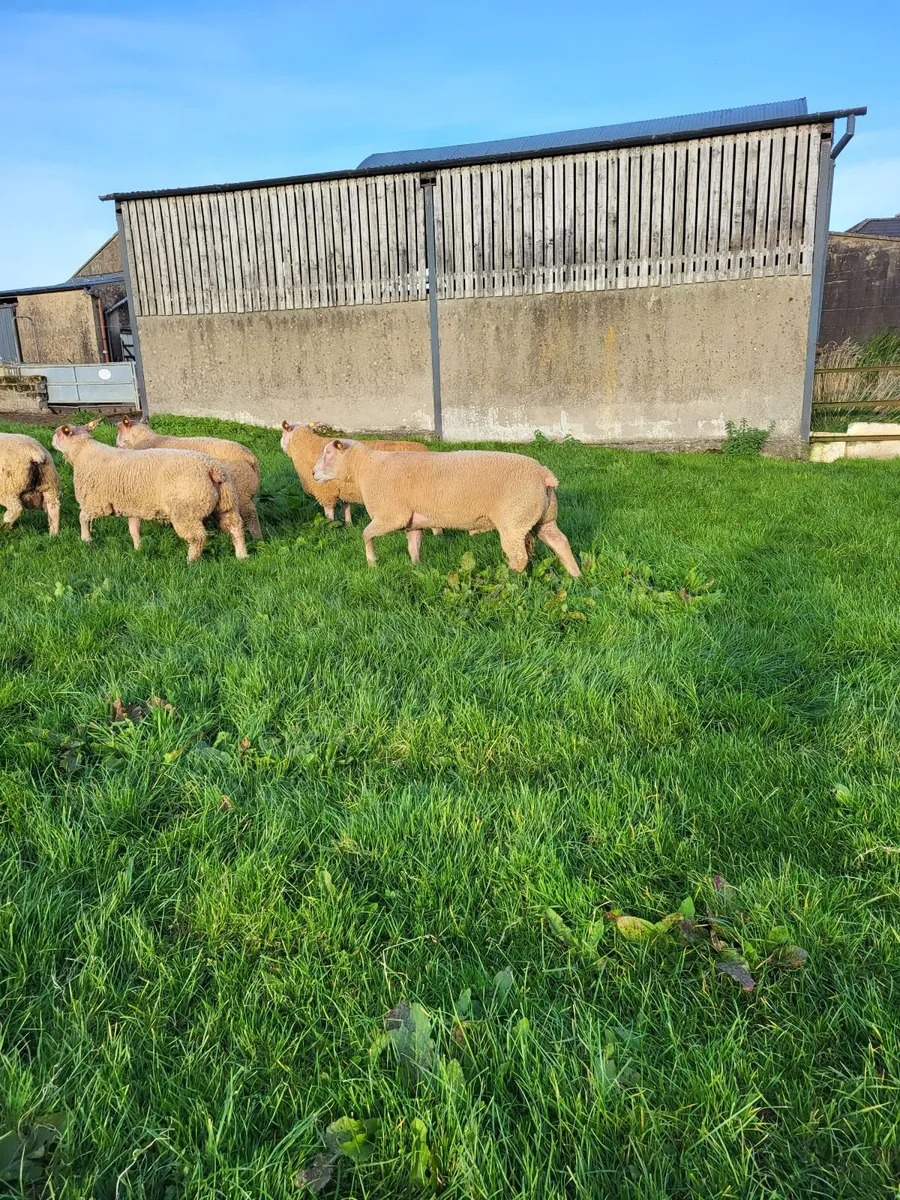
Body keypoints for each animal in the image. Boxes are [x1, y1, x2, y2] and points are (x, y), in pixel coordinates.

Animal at [52, 420, 247, 563]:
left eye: (59, 432)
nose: (52, 441)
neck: (82, 452)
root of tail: (212, 468)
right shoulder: (132, 505)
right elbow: (134, 528)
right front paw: (138, 548)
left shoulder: (96, 503)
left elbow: (82, 517)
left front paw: (86, 539)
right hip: (227, 502)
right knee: (236, 526)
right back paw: (242, 556)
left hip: (186, 511)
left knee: (197, 537)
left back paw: (191, 561)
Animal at [116, 416, 262, 539]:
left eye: (119, 430)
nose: (116, 445)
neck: (143, 439)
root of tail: (250, 457)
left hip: (242, 491)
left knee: (251, 514)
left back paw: (256, 537)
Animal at [312, 439, 581, 576]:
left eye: (328, 453)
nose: (313, 473)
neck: (365, 468)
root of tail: (543, 474)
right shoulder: (412, 520)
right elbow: (413, 545)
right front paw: (416, 567)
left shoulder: (392, 516)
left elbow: (365, 534)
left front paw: (371, 563)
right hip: (541, 517)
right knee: (560, 543)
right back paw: (575, 576)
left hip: (513, 521)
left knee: (519, 556)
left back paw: (510, 579)